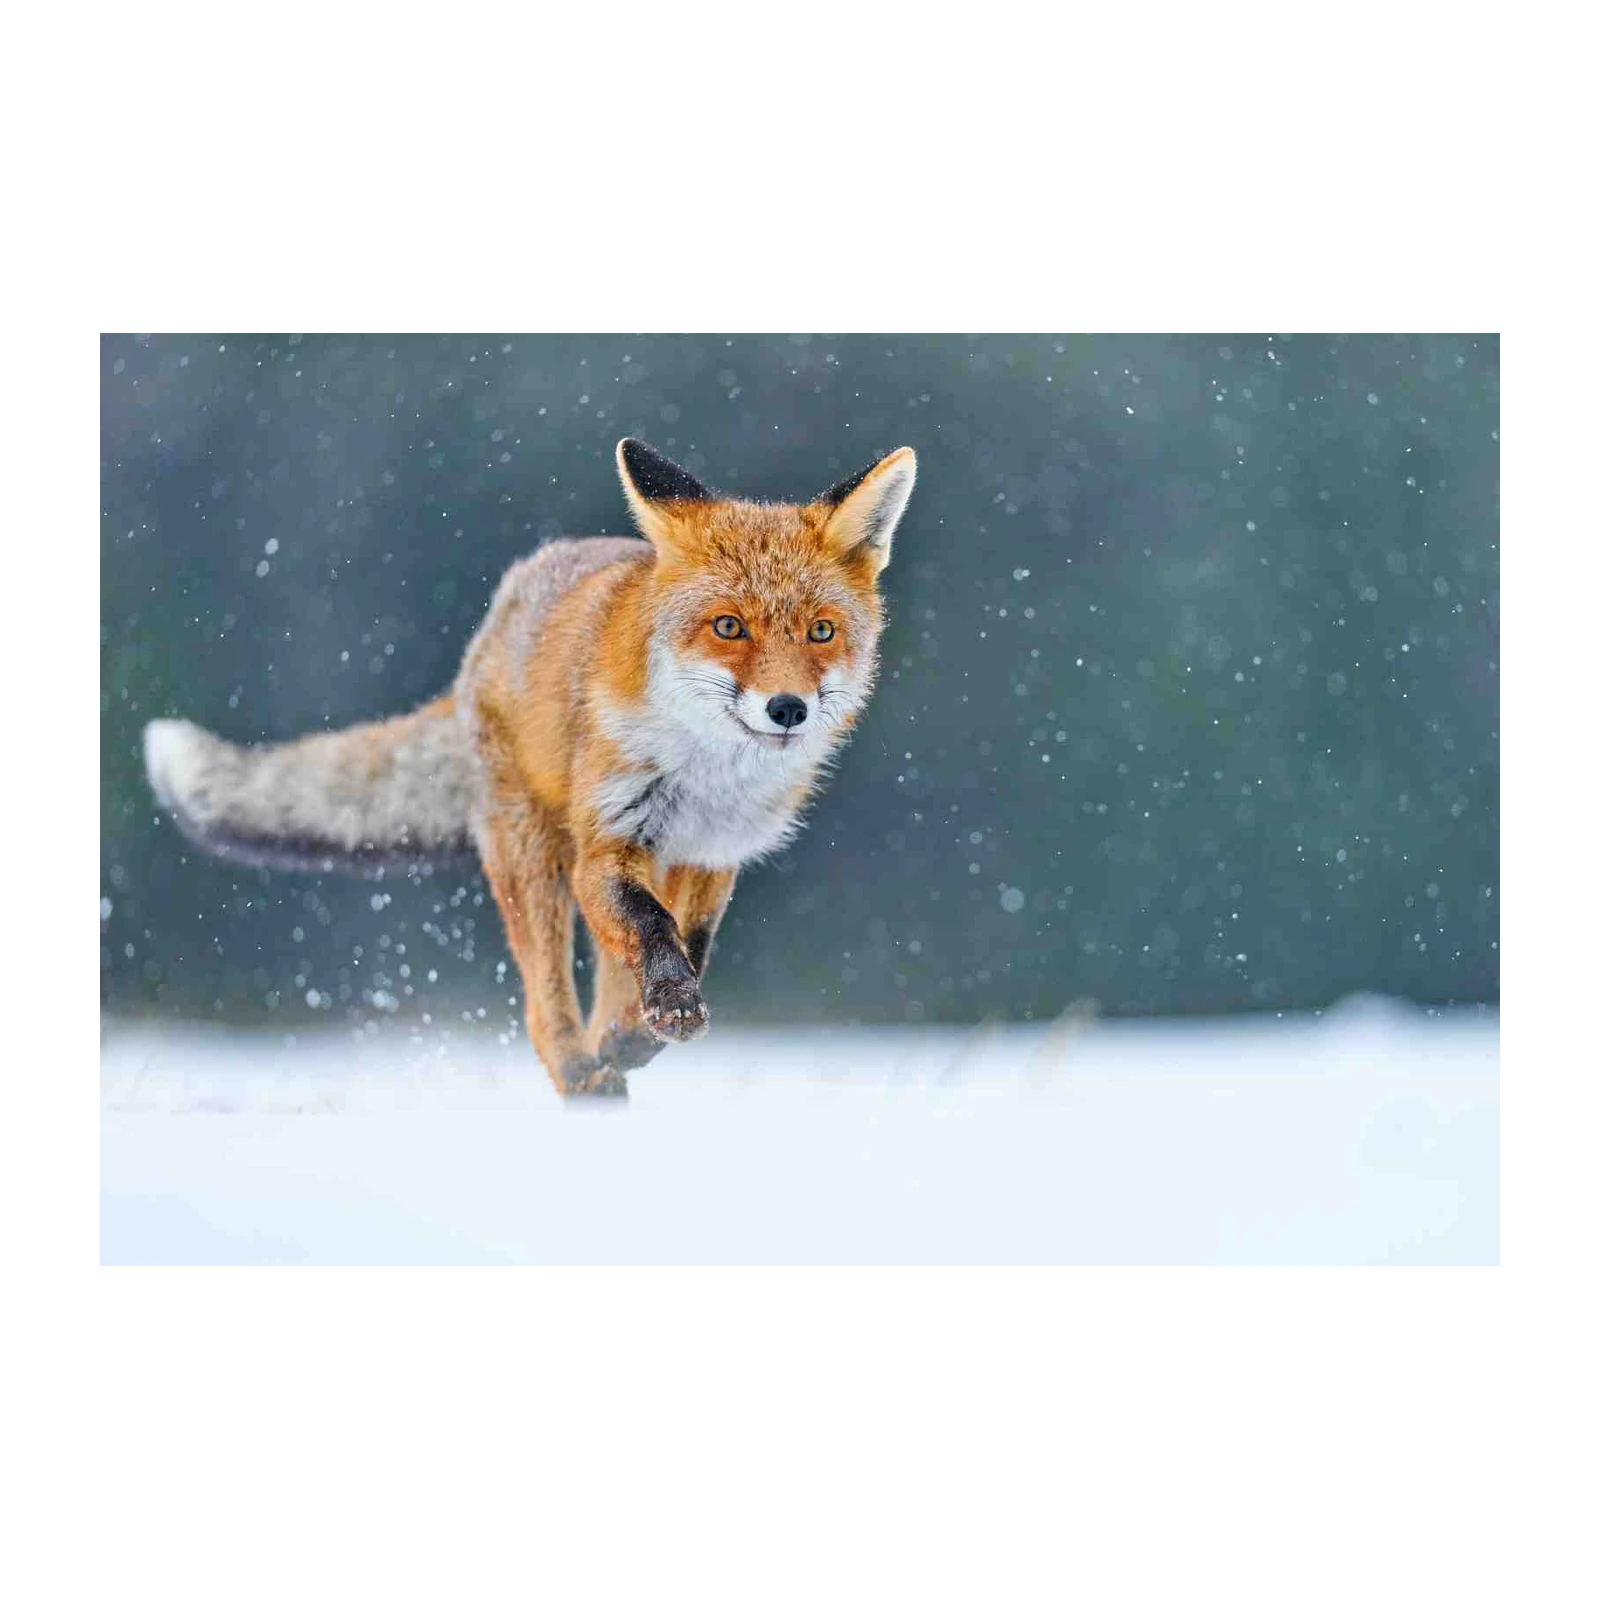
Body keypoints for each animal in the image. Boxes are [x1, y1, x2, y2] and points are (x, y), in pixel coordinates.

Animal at [143, 438, 918, 1099]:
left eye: (821, 631)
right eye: (729, 626)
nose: (788, 708)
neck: (709, 779)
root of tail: (489, 628)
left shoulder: (712, 856)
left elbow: (689, 944)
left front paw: (644, 1028)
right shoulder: (609, 844)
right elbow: (652, 931)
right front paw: (666, 1010)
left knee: (605, 983)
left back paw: (611, 1051)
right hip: (534, 859)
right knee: (546, 1006)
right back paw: (580, 1073)